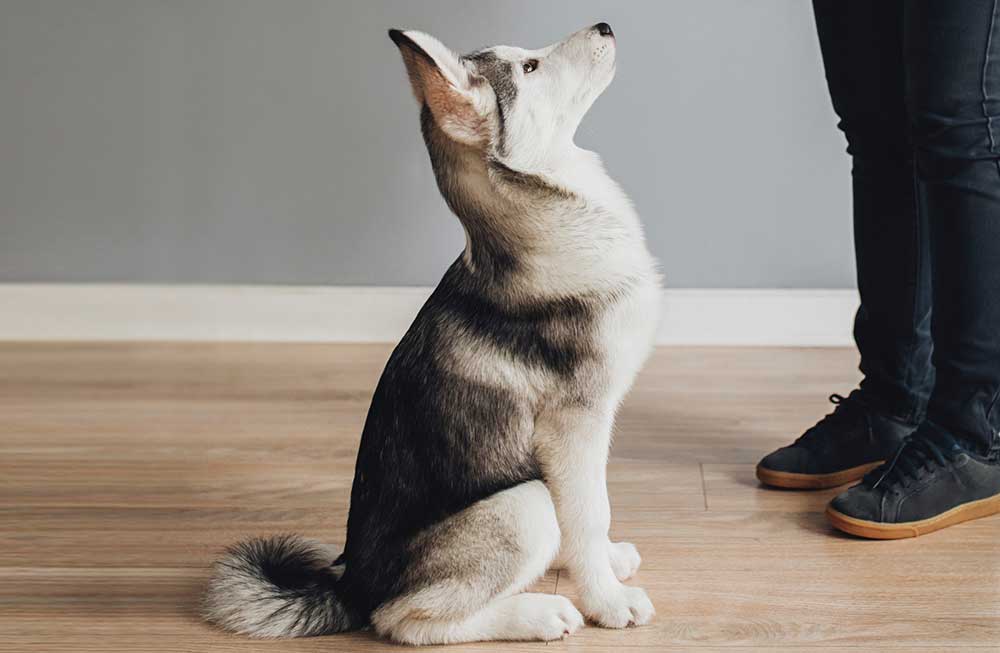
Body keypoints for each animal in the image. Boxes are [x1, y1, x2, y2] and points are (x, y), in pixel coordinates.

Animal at [201, 22, 664, 644]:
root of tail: (352, 584)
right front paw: (608, 601)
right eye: (530, 69)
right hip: (524, 505)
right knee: (404, 620)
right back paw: (539, 613)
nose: (606, 26)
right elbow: (590, 513)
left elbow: (590, 515)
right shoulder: (575, 425)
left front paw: (608, 566)